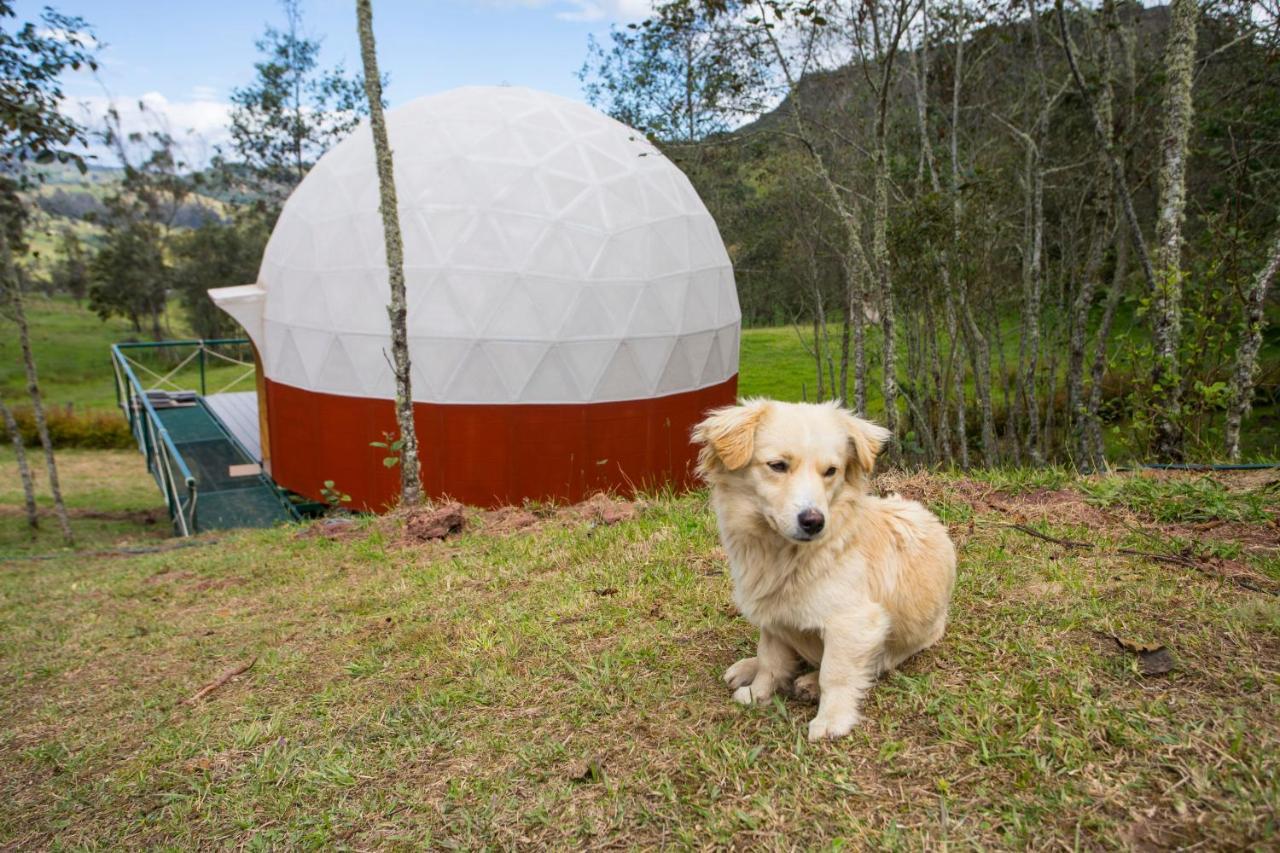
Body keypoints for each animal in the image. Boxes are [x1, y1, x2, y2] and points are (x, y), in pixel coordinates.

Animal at [696, 399, 957, 737]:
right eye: (778, 466)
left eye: (831, 471)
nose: (814, 521)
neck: (785, 555)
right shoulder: (773, 615)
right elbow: (770, 659)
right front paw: (758, 692)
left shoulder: (856, 623)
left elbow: (835, 673)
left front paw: (832, 720)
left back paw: (808, 684)